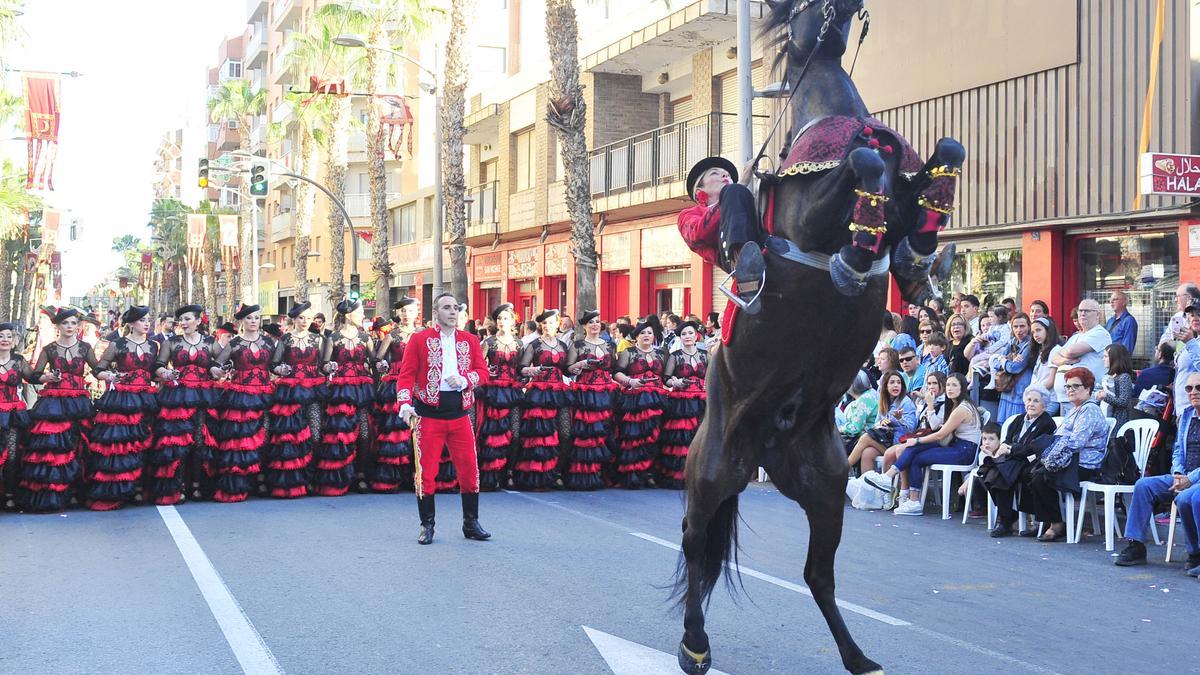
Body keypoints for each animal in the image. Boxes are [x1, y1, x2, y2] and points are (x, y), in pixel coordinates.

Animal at [676, 1, 964, 672]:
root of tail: (764, 450)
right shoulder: (812, 209)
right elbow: (863, 167)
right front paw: (855, 257)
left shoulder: (909, 185)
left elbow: (945, 151)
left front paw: (916, 257)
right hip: (711, 472)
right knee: (695, 542)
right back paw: (694, 643)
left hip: (827, 487)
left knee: (817, 575)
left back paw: (859, 656)